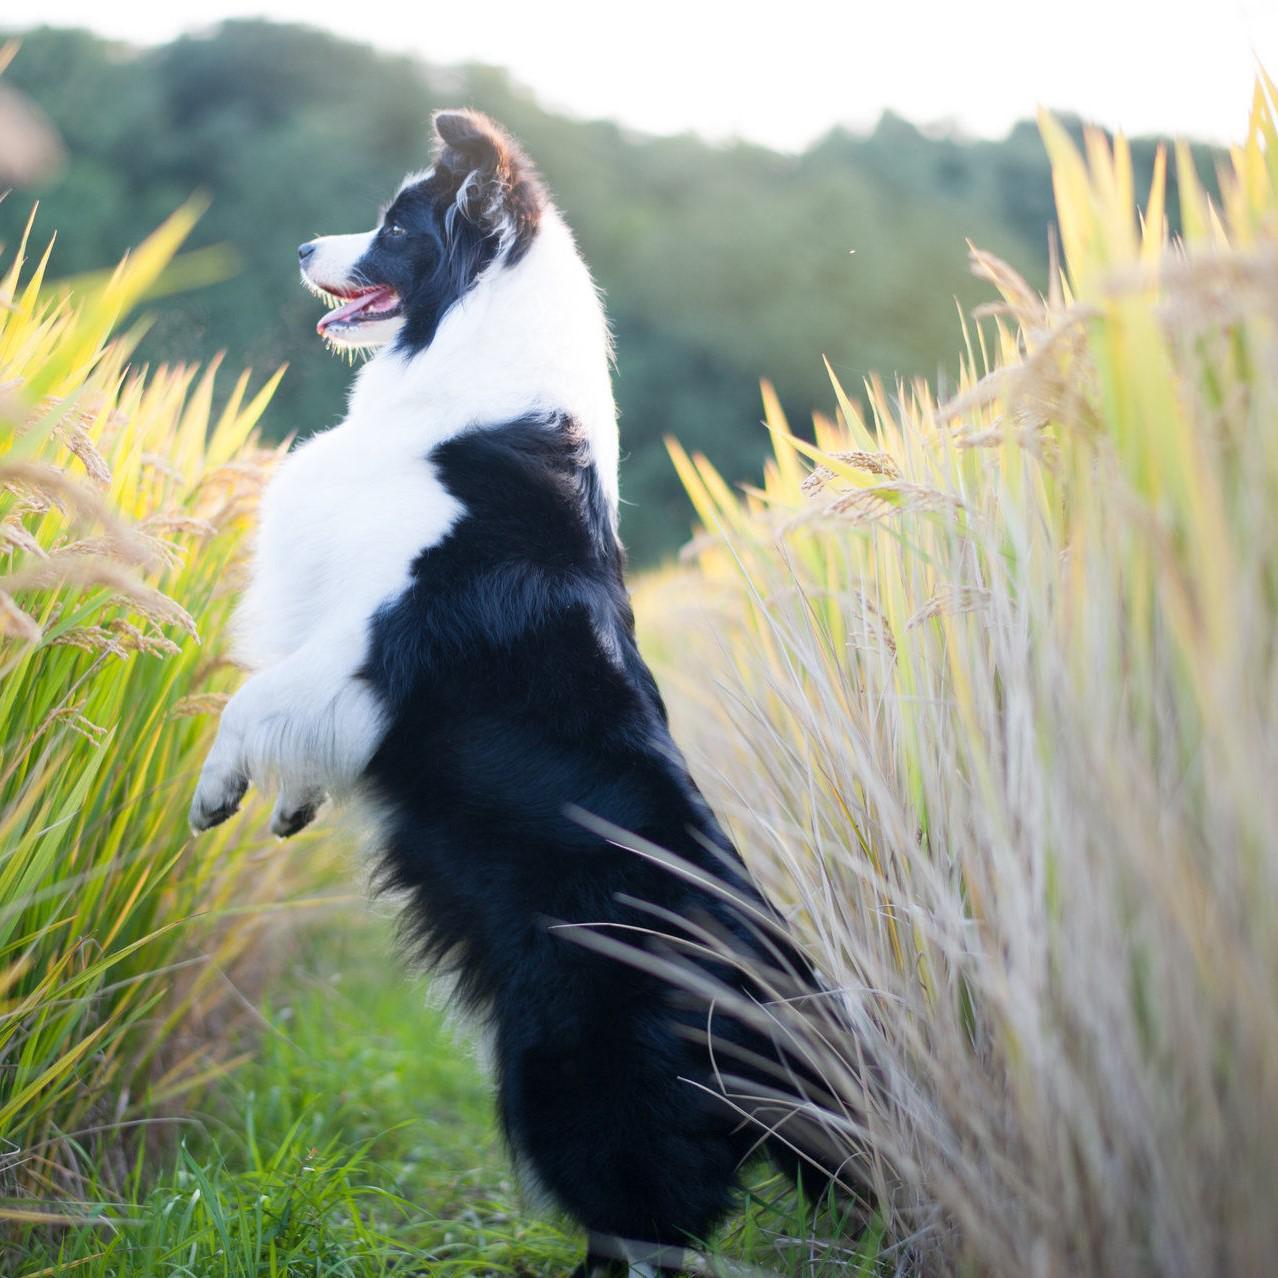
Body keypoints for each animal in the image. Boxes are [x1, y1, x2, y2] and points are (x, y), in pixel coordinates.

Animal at [185, 112, 833, 1278]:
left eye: (398, 226)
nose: (303, 246)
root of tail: (782, 1001)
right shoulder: (338, 648)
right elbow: (293, 720)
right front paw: (292, 802)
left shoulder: (366, 640)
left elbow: (254, 701)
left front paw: (217, 793)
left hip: (565, 1081)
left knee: (648, 1226)